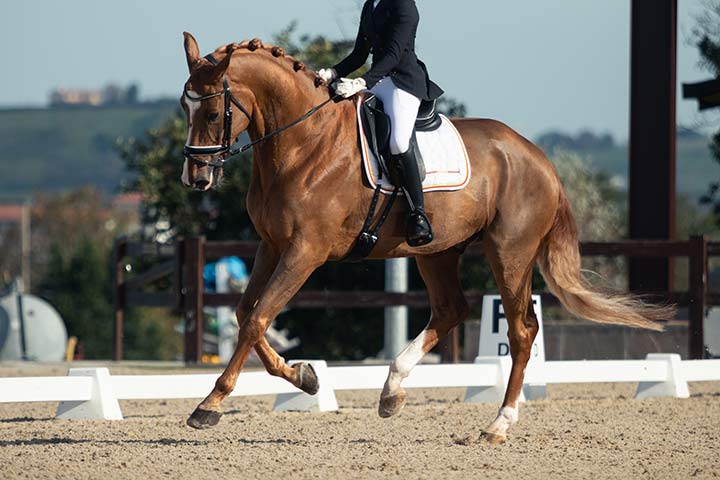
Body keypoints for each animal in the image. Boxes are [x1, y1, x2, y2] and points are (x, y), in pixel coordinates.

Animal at [179, 32, 673, 443]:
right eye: (184, 109)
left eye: (211, 111)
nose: (195, 179)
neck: (304, 143)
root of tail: (540, 159)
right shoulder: (272, 245)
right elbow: (246, 313)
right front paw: (306, 377)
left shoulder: (305, 252)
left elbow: (258, 318)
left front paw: (210, 405)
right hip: (437, 251)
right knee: (451, 310)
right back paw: (392, 391)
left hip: (509, 252)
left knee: (521, 331)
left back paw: (497, 425)